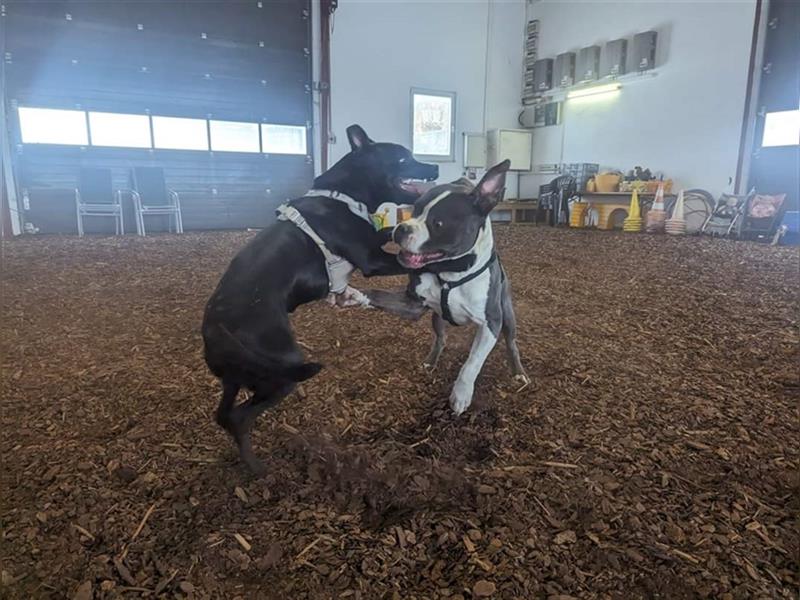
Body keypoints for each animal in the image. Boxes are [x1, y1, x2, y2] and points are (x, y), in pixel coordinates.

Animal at [200, 125, 438, 474]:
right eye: (403, 158)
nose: (435, 168)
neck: (344, 194)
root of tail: (214, 327)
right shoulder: (372, 260)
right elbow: (410, 258)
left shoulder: (374, 240)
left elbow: (391, 230)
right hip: (280, 374)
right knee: (239, 418)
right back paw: (258, 468)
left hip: (236, 378)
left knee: (223, 415)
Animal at [366, 159, 528, 414]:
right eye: (415, 209)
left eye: (437, 223)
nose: (401, 228)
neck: (451, 270)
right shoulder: (411, 304)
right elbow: (375, 294)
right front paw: (346, 295)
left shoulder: (491, 323)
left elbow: (472, 362)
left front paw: (461, 394)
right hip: (437, 318)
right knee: (440, 339)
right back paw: (430, 362)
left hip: (508, 315)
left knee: (511, 343)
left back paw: (518, 373)